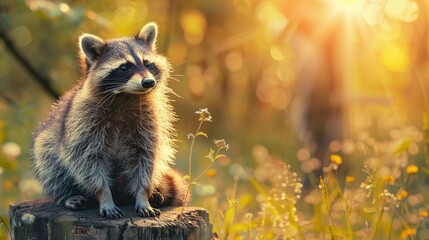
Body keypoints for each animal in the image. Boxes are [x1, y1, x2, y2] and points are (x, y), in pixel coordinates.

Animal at [30, 21, 188, 218]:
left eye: (147, 63)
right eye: (124, 67)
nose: (148, 82)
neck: (126, 95)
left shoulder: (150, 120)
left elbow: (146, 157)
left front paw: (143, 194)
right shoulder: (82, 122)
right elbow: (87, 159)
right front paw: (104, 195)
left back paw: (155, 194)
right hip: (49, 139)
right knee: (50, 163)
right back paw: (67, 194)